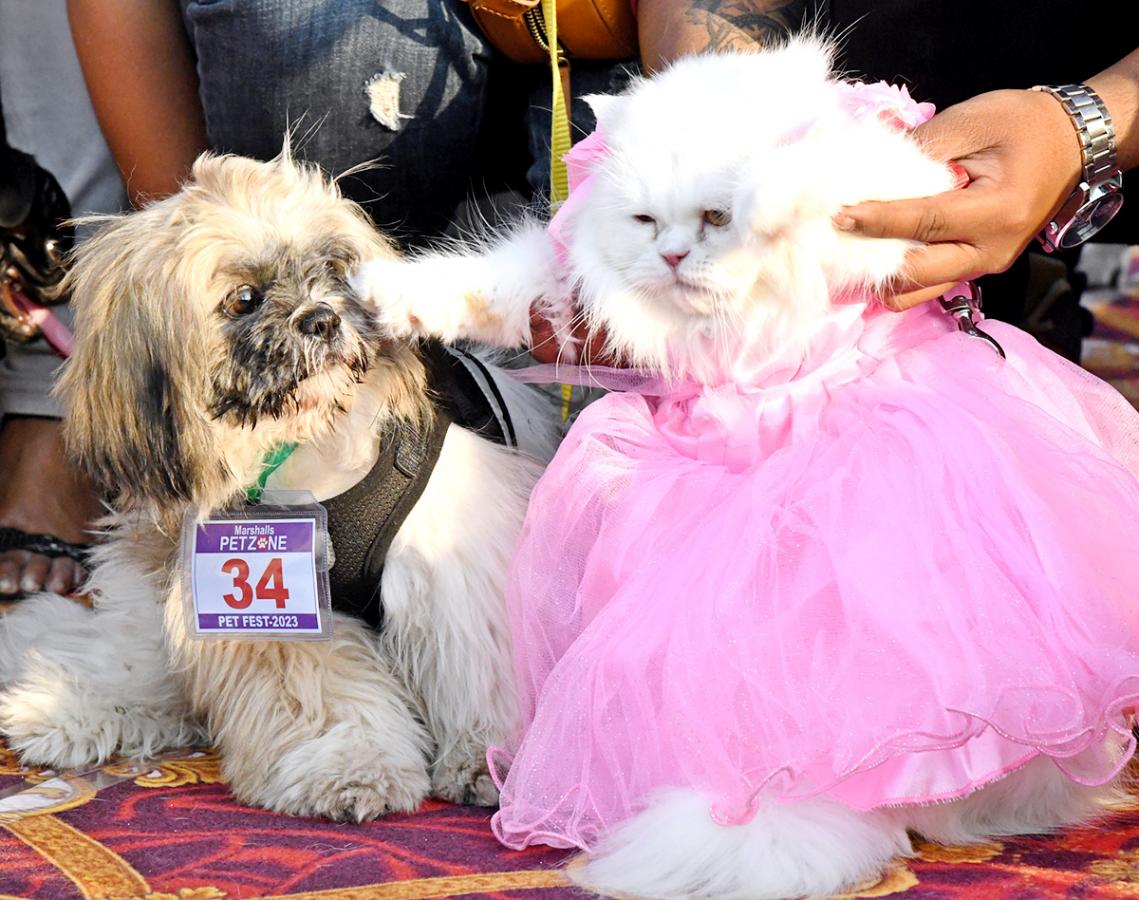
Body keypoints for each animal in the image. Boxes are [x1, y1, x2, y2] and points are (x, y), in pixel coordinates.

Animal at [0, 151, 555, 820]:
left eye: (335, 270)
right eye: (244, 298)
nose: (321, 317)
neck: (305, 447)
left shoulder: (455, 569)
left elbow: (476, 672)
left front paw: (493, 760)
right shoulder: (280, 614)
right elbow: (325, 695)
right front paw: (351, 767)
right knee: (124, 659)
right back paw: (64, 707)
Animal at [350, 38, 1116, 900]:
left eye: (713, 218)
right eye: (646, 221)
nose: (674, 254)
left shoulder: (889, 205)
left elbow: (813, 184)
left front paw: (768, 187)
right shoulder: (561, 278)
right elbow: (488, 282)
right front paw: (389, 296)